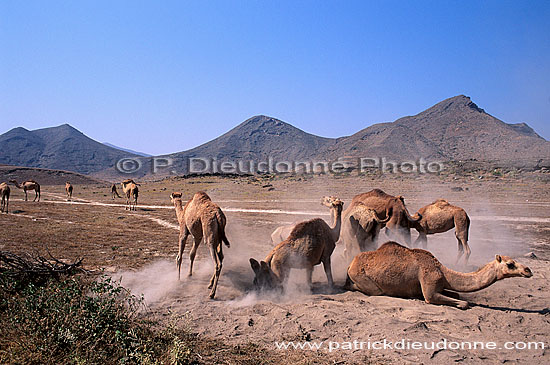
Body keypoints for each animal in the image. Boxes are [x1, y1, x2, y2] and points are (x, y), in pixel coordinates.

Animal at [344, 240, 536, 308]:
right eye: (510, 264)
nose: (528, 270)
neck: (443, 272)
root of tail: (351, 263)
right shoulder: (429, 283)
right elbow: (464, 303)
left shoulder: (440, 285)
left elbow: (457, 294)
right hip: (362, 278)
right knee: (371, 290)